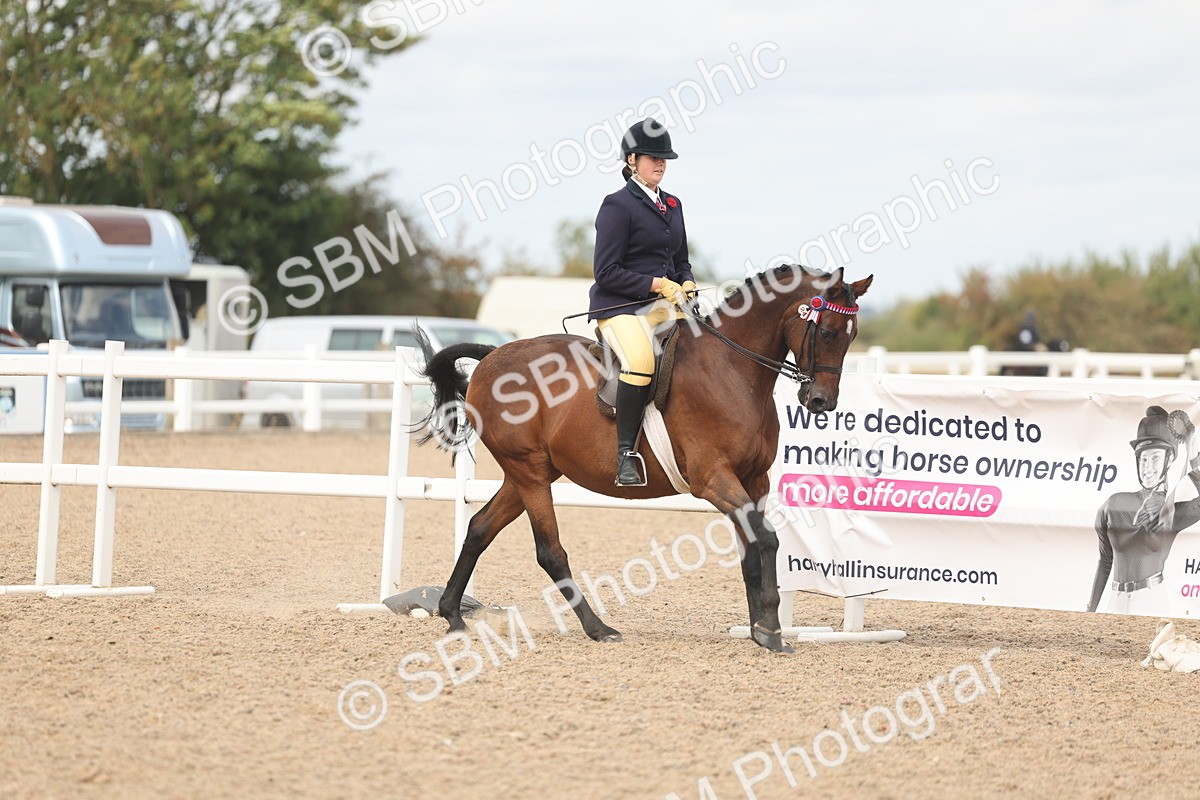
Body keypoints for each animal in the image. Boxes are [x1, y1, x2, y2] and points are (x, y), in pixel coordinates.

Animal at [416, 265, 873, 653]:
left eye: (851, 337)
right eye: (827, 332)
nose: (821, 402)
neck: (733, 370)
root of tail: (492, 357)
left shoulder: (754, 480)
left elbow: (751, 549)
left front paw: (759, 628)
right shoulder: (714, 479)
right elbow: (768, 539)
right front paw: (772, 631)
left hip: (529, 474)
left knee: (479, 528)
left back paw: (453, 615)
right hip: (528, 473)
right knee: (550, 551)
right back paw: (598, 628)